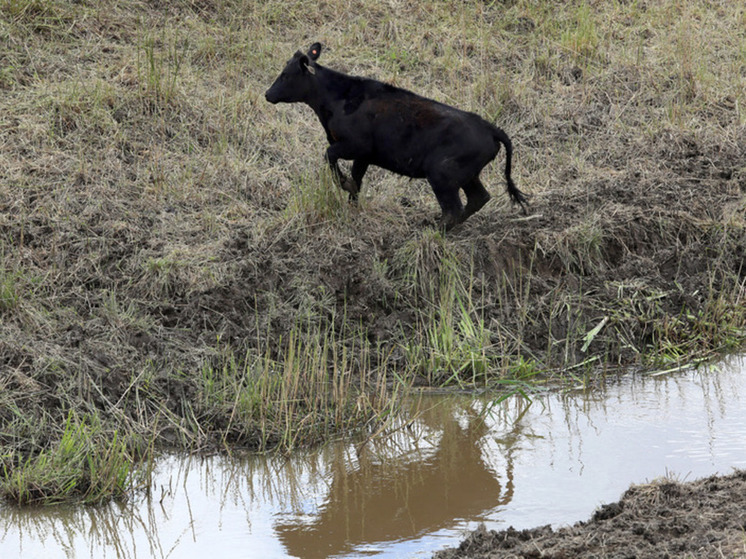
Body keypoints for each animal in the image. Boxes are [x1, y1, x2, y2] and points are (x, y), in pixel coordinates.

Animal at [264, 41, 528, 230]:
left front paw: (344, 184)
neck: (338, 98)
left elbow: (329, 156)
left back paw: (432, 231)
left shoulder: (354, 146)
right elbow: (357, 180)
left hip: (441, 173)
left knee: (453, 208)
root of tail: (489, 127)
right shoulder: (364, 156)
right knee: (478, 198)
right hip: (466, 175)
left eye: (285, 74)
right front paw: (352, 204)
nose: (267, 94)